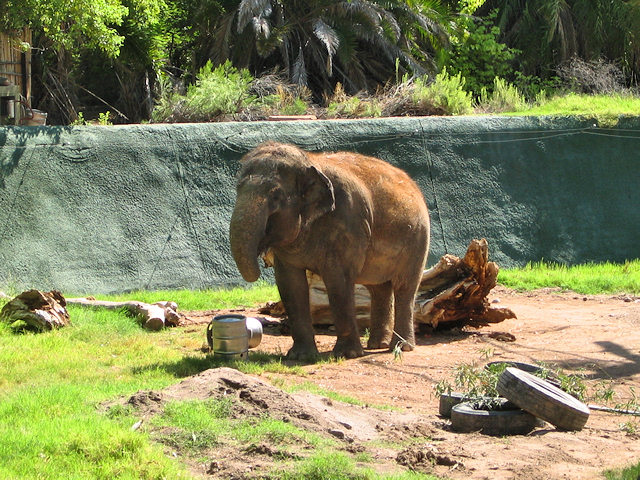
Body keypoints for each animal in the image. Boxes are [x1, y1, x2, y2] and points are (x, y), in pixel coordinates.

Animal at [229, 142, 430, 360]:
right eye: (237, 190)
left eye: (276, 197)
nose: (262, 258)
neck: (309, 161)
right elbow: (290, 285)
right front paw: (300, 357)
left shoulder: (348, 222)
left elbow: (338, 281)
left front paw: (347, 354)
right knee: (379, 288)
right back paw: (378, 344)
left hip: (418, 239)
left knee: (405, 287)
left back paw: (401, 347)